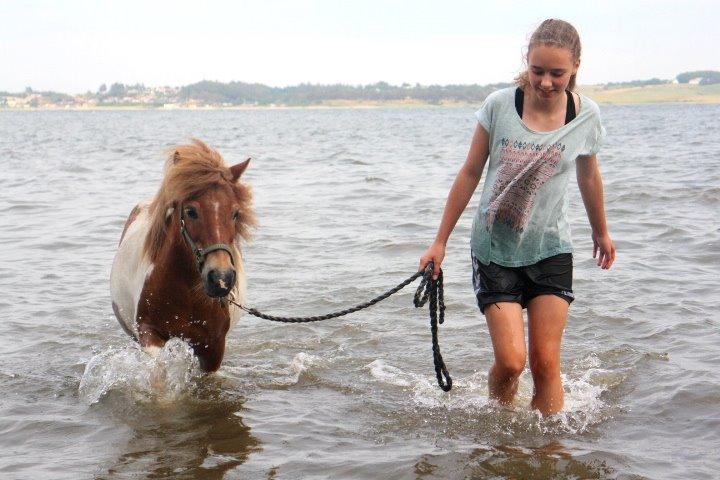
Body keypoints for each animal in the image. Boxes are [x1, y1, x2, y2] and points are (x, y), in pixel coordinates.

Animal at [111, 139, 258, 372]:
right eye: (191, 212)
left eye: (235, 213)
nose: (221, 278)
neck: (186, 293)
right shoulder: (148, 332)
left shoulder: (213, 348)